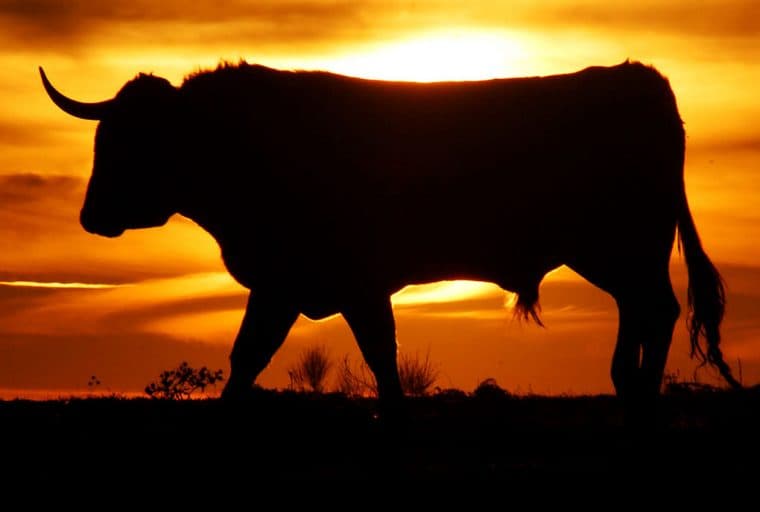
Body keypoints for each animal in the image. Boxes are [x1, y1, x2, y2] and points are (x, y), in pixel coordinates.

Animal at [40, 60, 739, 418]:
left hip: (624, 246)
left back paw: (641, 394)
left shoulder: (350, 282)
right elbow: (248, 358)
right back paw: (627, 385)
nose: (91, 215)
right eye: (105, 137)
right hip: (619, 253)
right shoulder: (284, 284)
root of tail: (641, 77)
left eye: (135, 143)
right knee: (642, 313)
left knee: (659, 310)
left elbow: (379, 357)